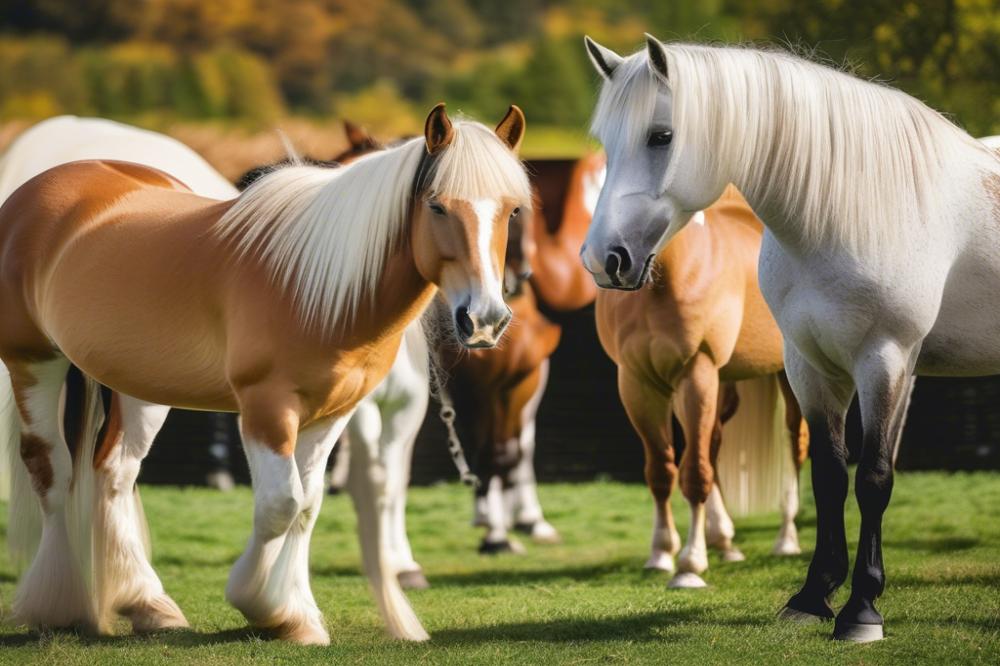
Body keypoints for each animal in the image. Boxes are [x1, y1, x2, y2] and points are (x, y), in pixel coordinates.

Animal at [0, 105, 532, 644]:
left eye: (512, 211)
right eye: (438, 206)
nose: (485, 320)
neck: (315, 286)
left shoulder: (333, 413)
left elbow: (308, 505)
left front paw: (297, 616)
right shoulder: (267, 409)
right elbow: (280, 504)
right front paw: (261, 604)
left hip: (140, 387)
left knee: (113, 472)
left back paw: (148, 604)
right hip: (34, 362)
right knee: (52, 469)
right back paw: (59, 604)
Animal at [596, 185, 808, 588]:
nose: (615, 261)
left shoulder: (696, 373)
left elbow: (693, 472)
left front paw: (690, 564)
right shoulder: (636, 383)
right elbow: (662, 471)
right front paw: (661, 554)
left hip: (785, 376)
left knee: (795, 442)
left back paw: (786, 540)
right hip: (719, 388)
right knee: (714, 446)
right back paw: (724, 541)